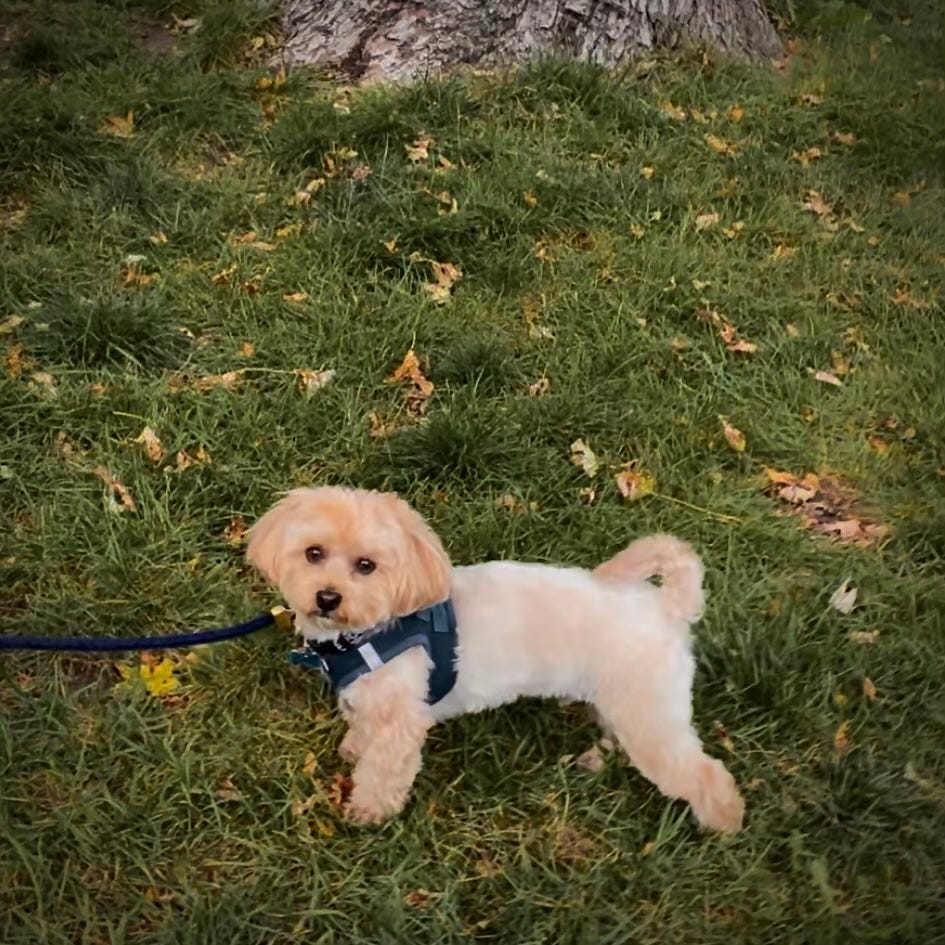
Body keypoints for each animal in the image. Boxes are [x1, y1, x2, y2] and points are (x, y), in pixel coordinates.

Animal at [247, 486, 744, 833]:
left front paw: (369, 813)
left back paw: (723, 822)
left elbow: (382, 771)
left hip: (649, 712)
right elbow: (360, 730)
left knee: (702, 771)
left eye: (367, 566)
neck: (373, 630)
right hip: (624, 701)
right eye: (313, 553)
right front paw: (353, 747)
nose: (327, 597)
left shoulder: (400, 723)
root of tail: (667, 607)